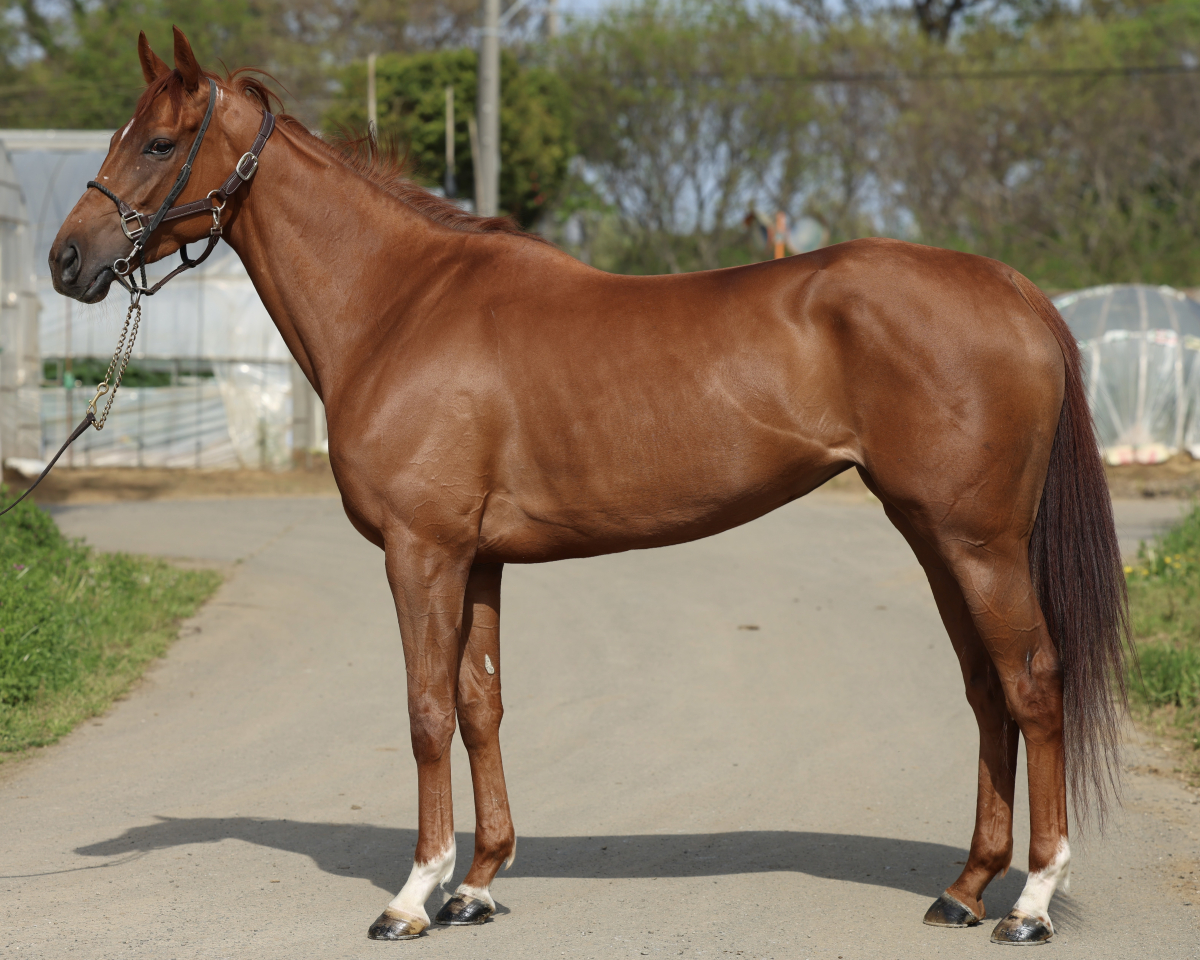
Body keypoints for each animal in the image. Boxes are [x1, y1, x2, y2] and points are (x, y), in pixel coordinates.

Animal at [48, 28, 1130, 946]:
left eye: (159, 141)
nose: (67, 260)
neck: (400, 306)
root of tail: (1013, 288)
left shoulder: (421, 552)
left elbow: (425, 711)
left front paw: (412, 896)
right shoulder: (477, 559)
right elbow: (480, 704)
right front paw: (479, 885)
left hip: (978, 541)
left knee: (1033, 684)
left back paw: (1030, 902)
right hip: (934, 534)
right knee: (987, 692)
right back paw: (964, 888)